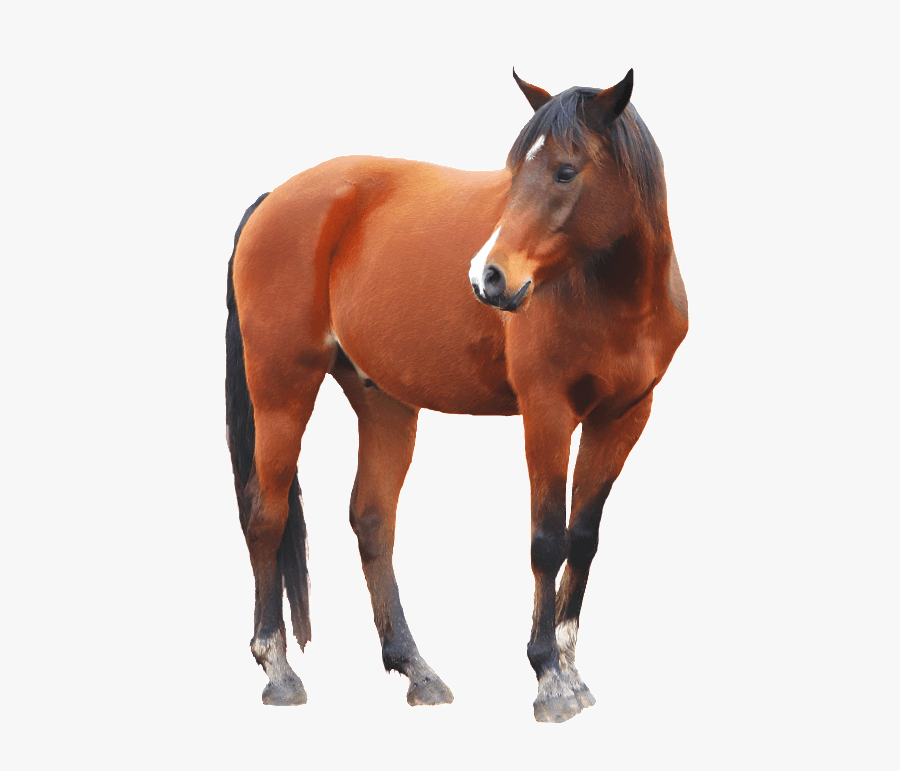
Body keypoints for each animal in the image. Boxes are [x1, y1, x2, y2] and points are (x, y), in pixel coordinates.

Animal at [225, 69, 688, 723]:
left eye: (565, 171)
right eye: (515, 171)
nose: (488, 278)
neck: (609, 294)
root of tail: (273, 198)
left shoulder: (623, 418)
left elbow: (583, 538)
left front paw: (572, 669)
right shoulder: (547, 414)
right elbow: (547, 539)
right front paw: (549, 677)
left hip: (383, 400)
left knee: (372, 520)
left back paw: (415, 669)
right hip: (281, 386)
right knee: (266, 513)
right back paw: (279, 669)